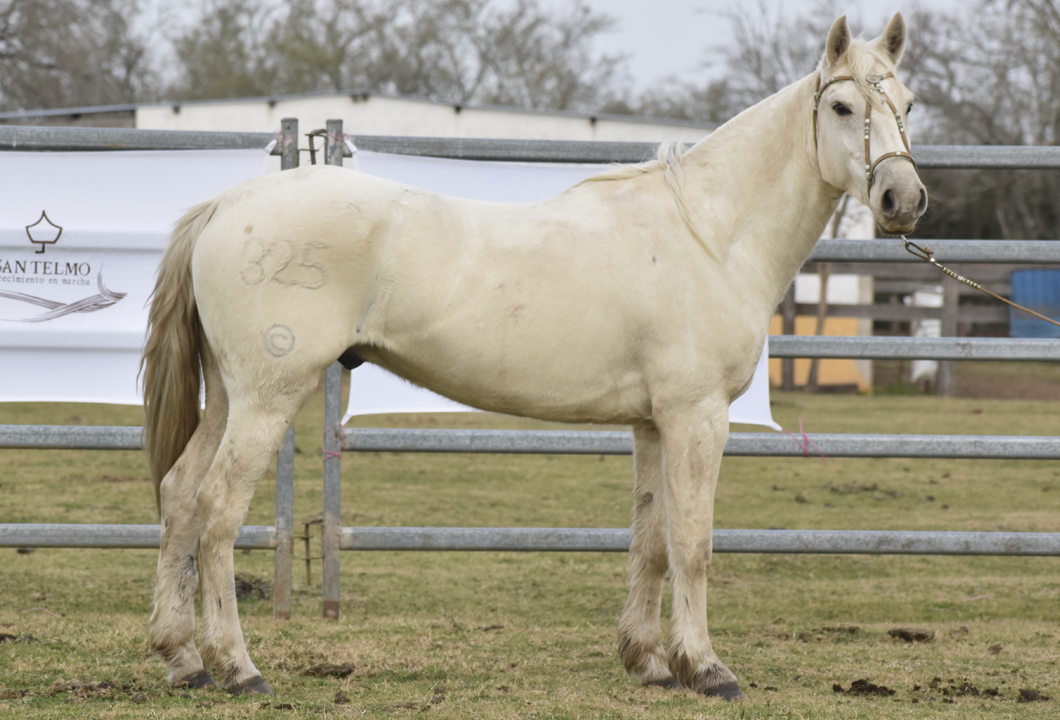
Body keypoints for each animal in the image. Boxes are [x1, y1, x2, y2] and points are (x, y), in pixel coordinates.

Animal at [143, 11, 928, 699]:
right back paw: (238, 667)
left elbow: (650, 539)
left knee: (180, 496)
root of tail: (225, 206)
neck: (708, 232)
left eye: (909, 104)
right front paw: (706, 669)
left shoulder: (653, 423)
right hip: (267, 397)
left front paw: (648, 662)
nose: (903, 198)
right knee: (216, 509)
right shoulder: (696, 417)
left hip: (229, 396)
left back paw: (182, 660)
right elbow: (693, 543)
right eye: (842, 106)